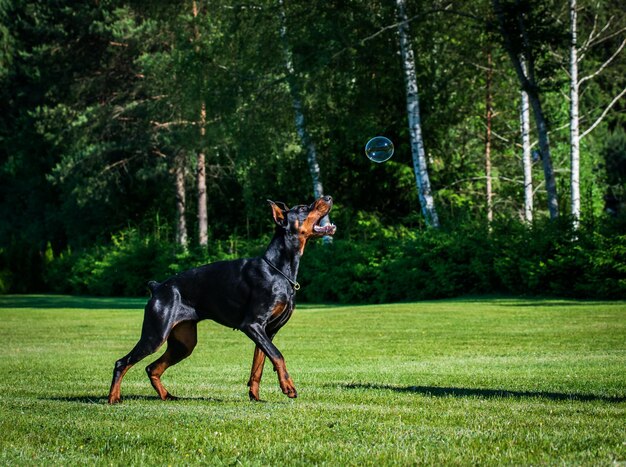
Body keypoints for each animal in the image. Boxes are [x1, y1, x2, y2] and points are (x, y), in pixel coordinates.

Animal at [106, 196, 336, 404]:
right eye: (304, 207)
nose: (328, 197)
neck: (278, 269)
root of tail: (158, 287)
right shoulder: (252, 324)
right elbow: (278, 355)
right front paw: (288, 387)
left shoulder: (268, 331)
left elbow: (258, 365)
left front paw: (255, 397)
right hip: (155, 335)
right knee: (122, 363)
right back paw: (113, 398)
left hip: (184, 343)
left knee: (152, 367)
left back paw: (167, 396)